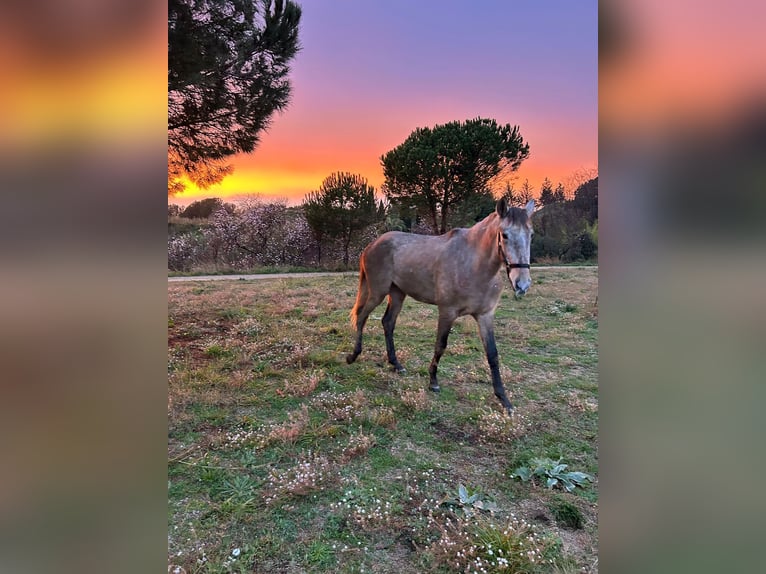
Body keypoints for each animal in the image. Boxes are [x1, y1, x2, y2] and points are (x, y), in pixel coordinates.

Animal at [346, 198, 535, 413]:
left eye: (531, 235)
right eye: (505, 234)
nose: (522, 284)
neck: (473, 266)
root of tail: (373, 244)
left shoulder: (485, 316)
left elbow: (493, 355)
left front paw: (504, 399)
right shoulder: (447, 312)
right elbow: (440, 346)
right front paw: (433, 381)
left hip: (397, 294)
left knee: (388, 323)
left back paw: (396, 364)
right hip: (378, 292)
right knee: (362, 317)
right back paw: (353, 356)